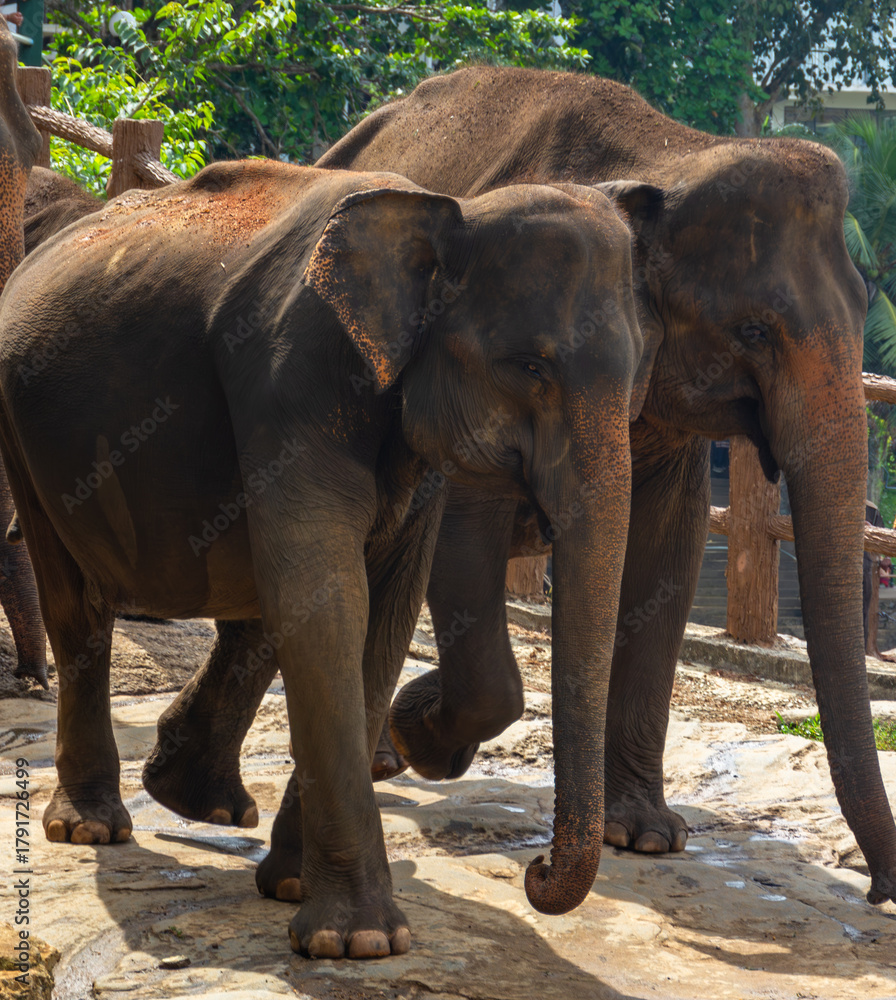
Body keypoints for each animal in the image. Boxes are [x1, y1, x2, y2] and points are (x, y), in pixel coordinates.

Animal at [0, 159, 651, 953]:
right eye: (528, 366)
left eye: (637, 375)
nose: (535, 871)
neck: (443, 209)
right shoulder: (294, 373)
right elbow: (328, 598)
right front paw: (359, 940)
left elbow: (382, 609)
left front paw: (295, 889)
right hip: (23, 432)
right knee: (78, 607)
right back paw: (91, 828)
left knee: (250, 600)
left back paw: (202, 803)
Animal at [147, 64, 896, 910]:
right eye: (756, 331)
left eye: (864, 309)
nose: (878, 892)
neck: (673, 150)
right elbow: (465, 536)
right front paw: (424, 729)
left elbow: (665, 553)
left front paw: (645, 836)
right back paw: (321, 772)